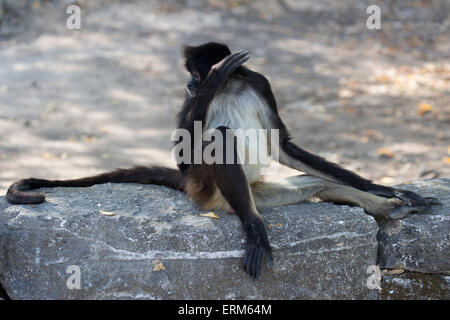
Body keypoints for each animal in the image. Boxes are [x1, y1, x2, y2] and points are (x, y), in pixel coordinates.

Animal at [6, 42, 440, 278]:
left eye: (191, 74)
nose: (190, 84)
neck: (232, 86)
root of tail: (245, 197)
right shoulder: (195, 112)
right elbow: (186, 154)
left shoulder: (260, 82)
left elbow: (283, 145)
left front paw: (385, 187)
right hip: (206, 187)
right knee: (220, 137)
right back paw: (253, 226)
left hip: (261, 191)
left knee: (320, 183)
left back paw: (387, 206)